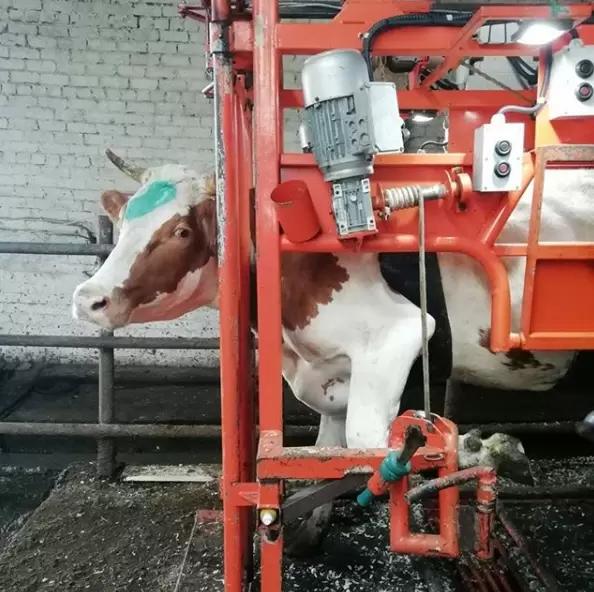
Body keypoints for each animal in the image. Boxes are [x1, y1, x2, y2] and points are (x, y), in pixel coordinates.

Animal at [72, 149, 591, 554]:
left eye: (181, 231)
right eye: (122, 221)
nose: (88, 298)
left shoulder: (399, 331)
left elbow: (371, 440)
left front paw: (480, 447)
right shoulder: (328, 373)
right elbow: (330, 451)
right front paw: (310, 530)